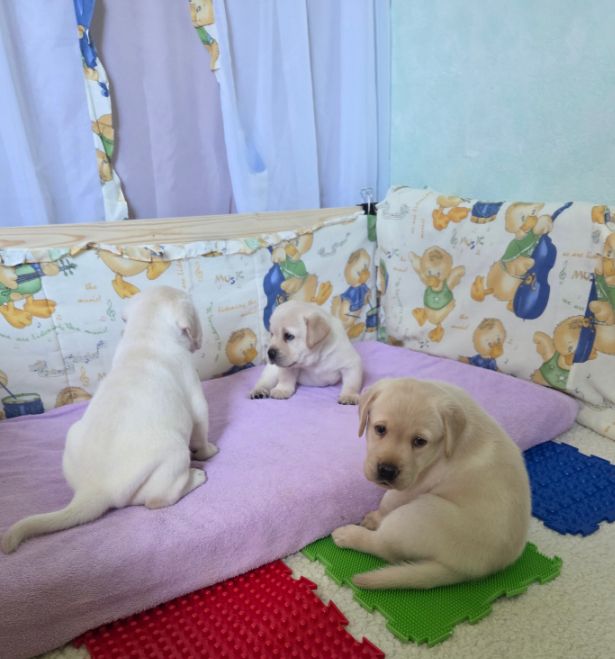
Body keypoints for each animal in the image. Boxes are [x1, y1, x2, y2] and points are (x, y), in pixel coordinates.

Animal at [1, 286, 218, 554]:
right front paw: (208, 451)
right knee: (156, 500)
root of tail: (93, 490)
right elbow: (201, 428)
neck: (145, 337)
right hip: (174, 454)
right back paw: (195, 476)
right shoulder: (195, 397)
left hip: (72, 437)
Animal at [332, 378, 531, 589]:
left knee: (384, 547)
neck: (441, 450)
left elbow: (388, 501)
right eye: (380, 429)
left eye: (419, 441)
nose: (386, 470)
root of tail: (470, 572)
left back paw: (348, 535)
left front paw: (375, 517)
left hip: (417, 514)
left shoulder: (415, 485)